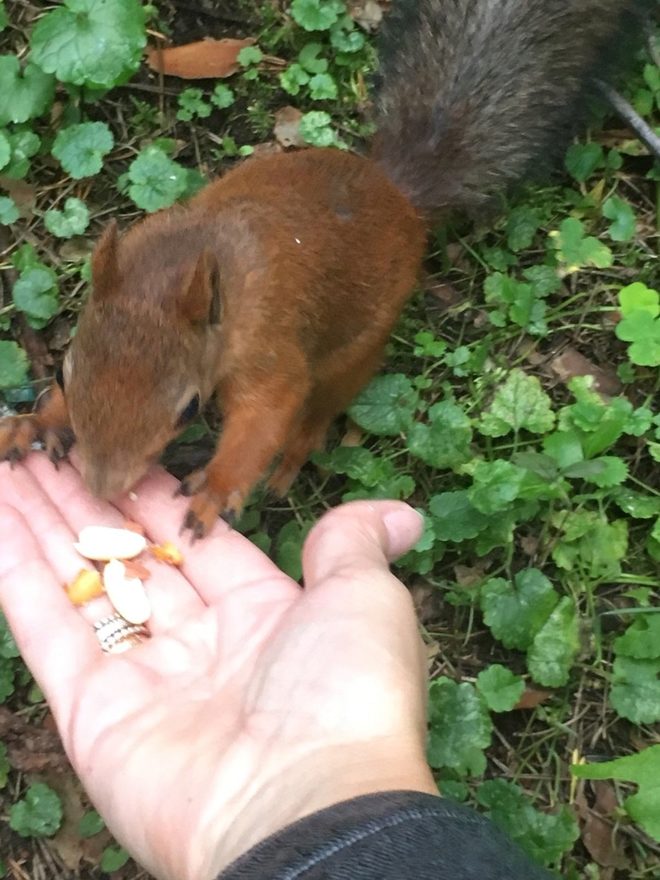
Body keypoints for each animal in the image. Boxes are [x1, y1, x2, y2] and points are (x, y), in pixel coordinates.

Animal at [0, 0, 648, 536]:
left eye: (188, 409)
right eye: (63, 375)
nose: (103, 489)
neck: (197, 257)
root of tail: (396, 196)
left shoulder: (268, 347)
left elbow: (266, 412)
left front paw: (216, 489)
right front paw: (35, 423)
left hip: (358, 346)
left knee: (320, 408)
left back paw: (291, 459)